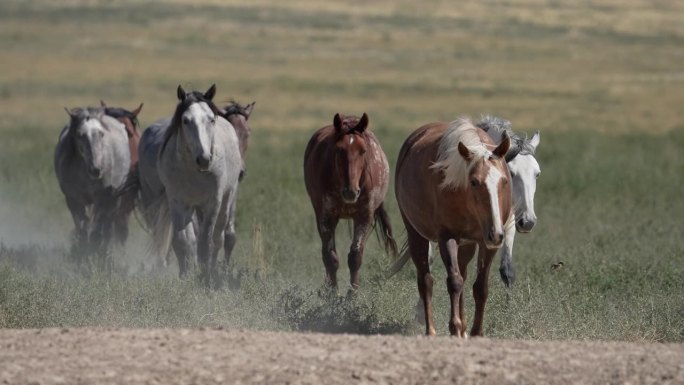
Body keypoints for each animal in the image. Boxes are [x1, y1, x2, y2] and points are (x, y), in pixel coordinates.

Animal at [54, 106, 131, 266]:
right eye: (79, 135)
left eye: (101, 134)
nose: (96, 170)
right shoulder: (73, 200)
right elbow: (82, 229)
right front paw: (82, 256)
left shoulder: (103, 199)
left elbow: (96, 232)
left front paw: (94, 257)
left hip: (114, 201)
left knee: (107, 227)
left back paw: (105, 253)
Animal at [130, 85, 244, 284]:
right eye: (185, 120)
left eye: (211, 119)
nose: (204, 159)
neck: (192, 170)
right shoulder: (178, 202)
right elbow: (182, 241)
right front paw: (185, 274)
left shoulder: (212, 203)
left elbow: (205, 242)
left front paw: (205, 275)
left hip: (226, 201)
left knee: (218, 237)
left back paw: (214, 268)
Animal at [304, 112, 398, 288]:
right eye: (339, 150)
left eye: (363, 151)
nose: (351, 192)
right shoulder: (326, 216)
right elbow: (330, 258)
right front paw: (333, 293)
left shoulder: (364, 216)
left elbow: (355, 257)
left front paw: (352, 293)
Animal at [392, 118, 510, 336]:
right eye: (474, 182)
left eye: (504, 181)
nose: (496, 234)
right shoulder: (447, 237)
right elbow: (454, 282)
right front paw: (454, 327)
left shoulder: (486, 244)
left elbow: (480, 287)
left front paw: (475, 332)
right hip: (416, 235)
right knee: (426, 281)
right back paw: (431, 330)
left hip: (468, 244)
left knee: (462, 273)